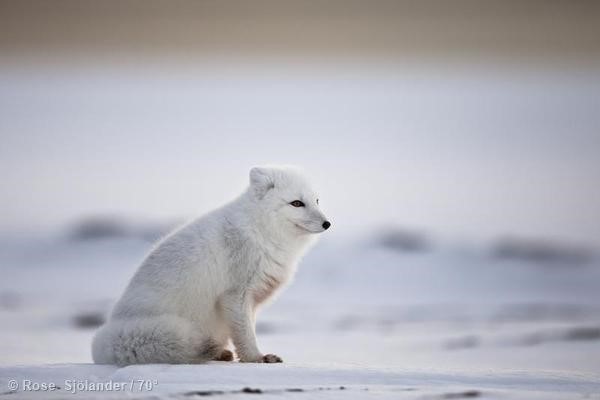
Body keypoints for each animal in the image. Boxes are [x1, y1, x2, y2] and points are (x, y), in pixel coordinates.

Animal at [91, 166, 330, 366]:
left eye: (317, 201)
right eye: (297, 203)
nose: (327, 223)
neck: (261, 231)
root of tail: (105, 336)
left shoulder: (251, 299)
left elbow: (247, 330)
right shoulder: (236, 295)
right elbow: (245, 335)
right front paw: (256, 358)